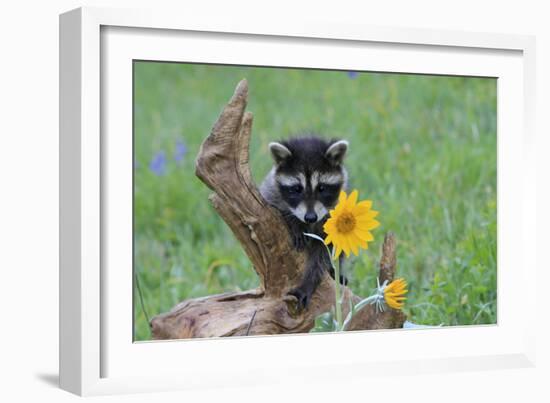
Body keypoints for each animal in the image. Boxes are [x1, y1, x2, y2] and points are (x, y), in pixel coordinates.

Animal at [260, 136, 350, 310]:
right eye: (296, 189)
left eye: (322, 188)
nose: (310, 217)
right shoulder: (270, 193)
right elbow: (275, 209)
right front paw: (295, 222)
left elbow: (324, 252)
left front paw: (308, 282)